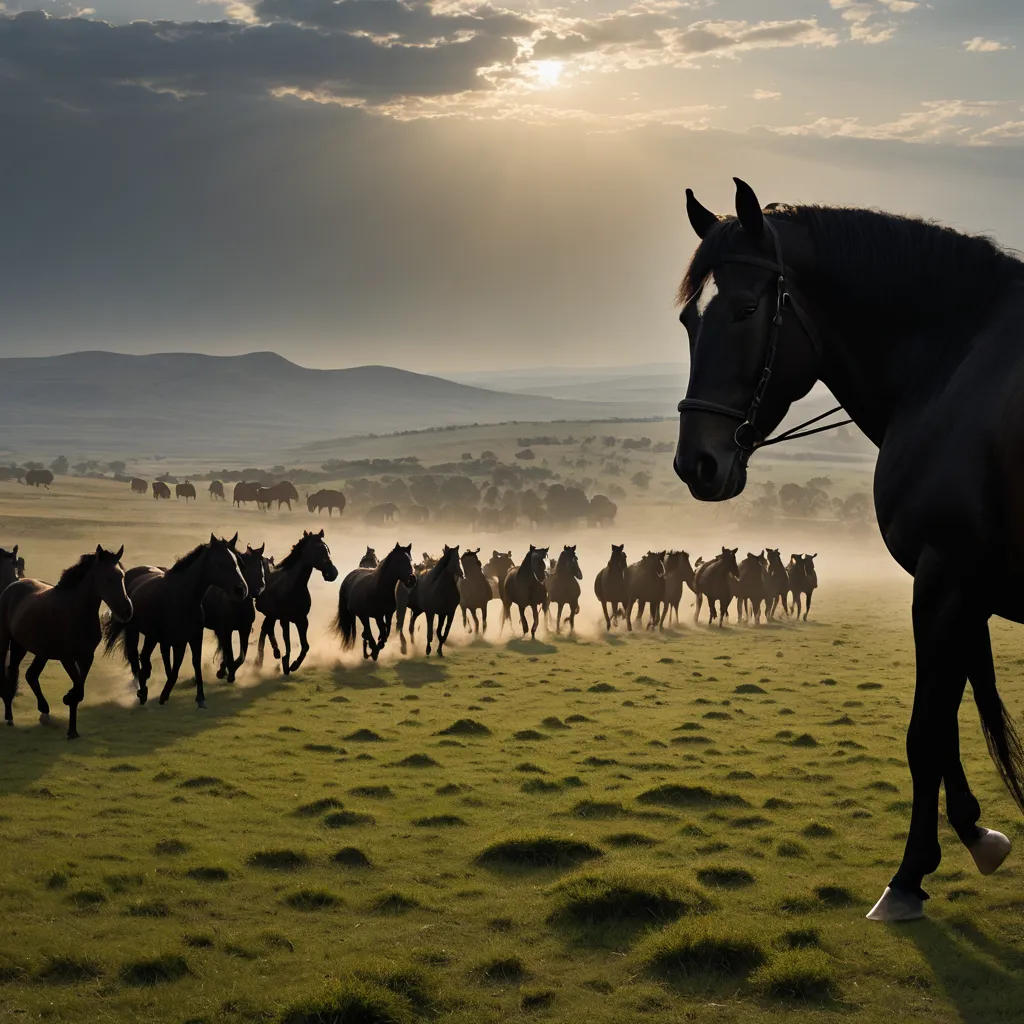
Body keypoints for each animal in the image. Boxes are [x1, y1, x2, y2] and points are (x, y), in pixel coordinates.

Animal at [1, 546, 132, 738]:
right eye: (108, 578)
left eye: (121, 576)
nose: (126, 611)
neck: (76, 611)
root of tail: (12, 586)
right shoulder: (67, 658)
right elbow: (77, 689)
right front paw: (68, 707)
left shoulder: (86, 657)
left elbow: (79, 690)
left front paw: (72, 730)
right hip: (7, 642)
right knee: (11, 674)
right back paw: (10, 716)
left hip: (32, 649)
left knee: (29, 674)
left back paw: (43, 712)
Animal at [104, 534, 246, 708]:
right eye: (220, 563)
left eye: (237, 561)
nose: (241, 590)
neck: (182, 596)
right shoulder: (175, 640)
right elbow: (172, 667)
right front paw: (163, 694)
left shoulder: (192, 637)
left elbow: (192, 663)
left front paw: (200, 698)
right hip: (135, 632)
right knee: (137, 658)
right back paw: (142, 691)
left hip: (153, 636)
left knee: (147, 657)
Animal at [202, 544, 267, 682]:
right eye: (247, 566)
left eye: (262, 565)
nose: (259, 589)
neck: (238, 604)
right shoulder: (227, 630)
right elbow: (230, 653)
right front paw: (228, 672)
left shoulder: (244, 630)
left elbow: (241, 655)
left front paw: (228, 671)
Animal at [255, 530, 338, 675]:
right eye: (318, 550)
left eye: (327, 549)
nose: (333, 573)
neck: (294, 586)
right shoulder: (285, 620)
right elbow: (287, 643)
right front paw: (286, 664)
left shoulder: (302, 620)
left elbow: (305, 646)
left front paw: (293, 665)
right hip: (272, 614)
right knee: (266, 629)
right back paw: (267, 657)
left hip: (272, 615)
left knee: (266, 628)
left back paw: (267, 657)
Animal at [672, 177, 1024, 920]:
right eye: (690, 320)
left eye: (746, 310)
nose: (697, 464)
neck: (953, 362)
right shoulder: (960, 588)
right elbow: (949, 718)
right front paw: (976, 833)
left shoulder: (944, 581)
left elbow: (926, 731)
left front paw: (909, 876)